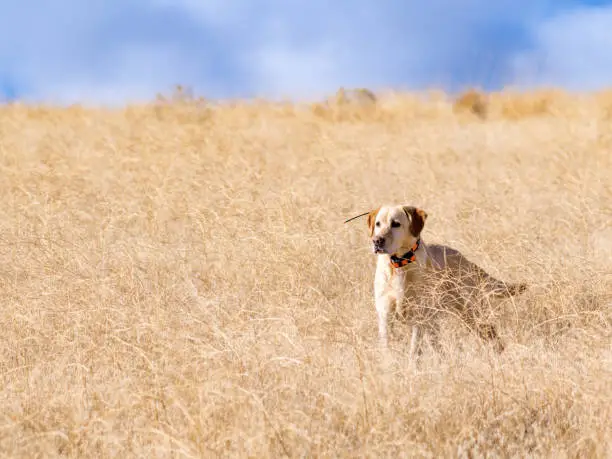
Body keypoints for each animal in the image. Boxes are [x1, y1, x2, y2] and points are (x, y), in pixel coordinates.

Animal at [364, 207, 524, 362]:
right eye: (378, 224)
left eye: (396, 224)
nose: (377, 241)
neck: (399, 266)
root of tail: (464, 259)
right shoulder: (385, 314)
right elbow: (387, 346)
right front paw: (389, 364)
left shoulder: (419, 316)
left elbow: (414, 350)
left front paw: (411, 368)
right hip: (437, 321)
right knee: (439, 345)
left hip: (471, 312)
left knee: (491, 333)